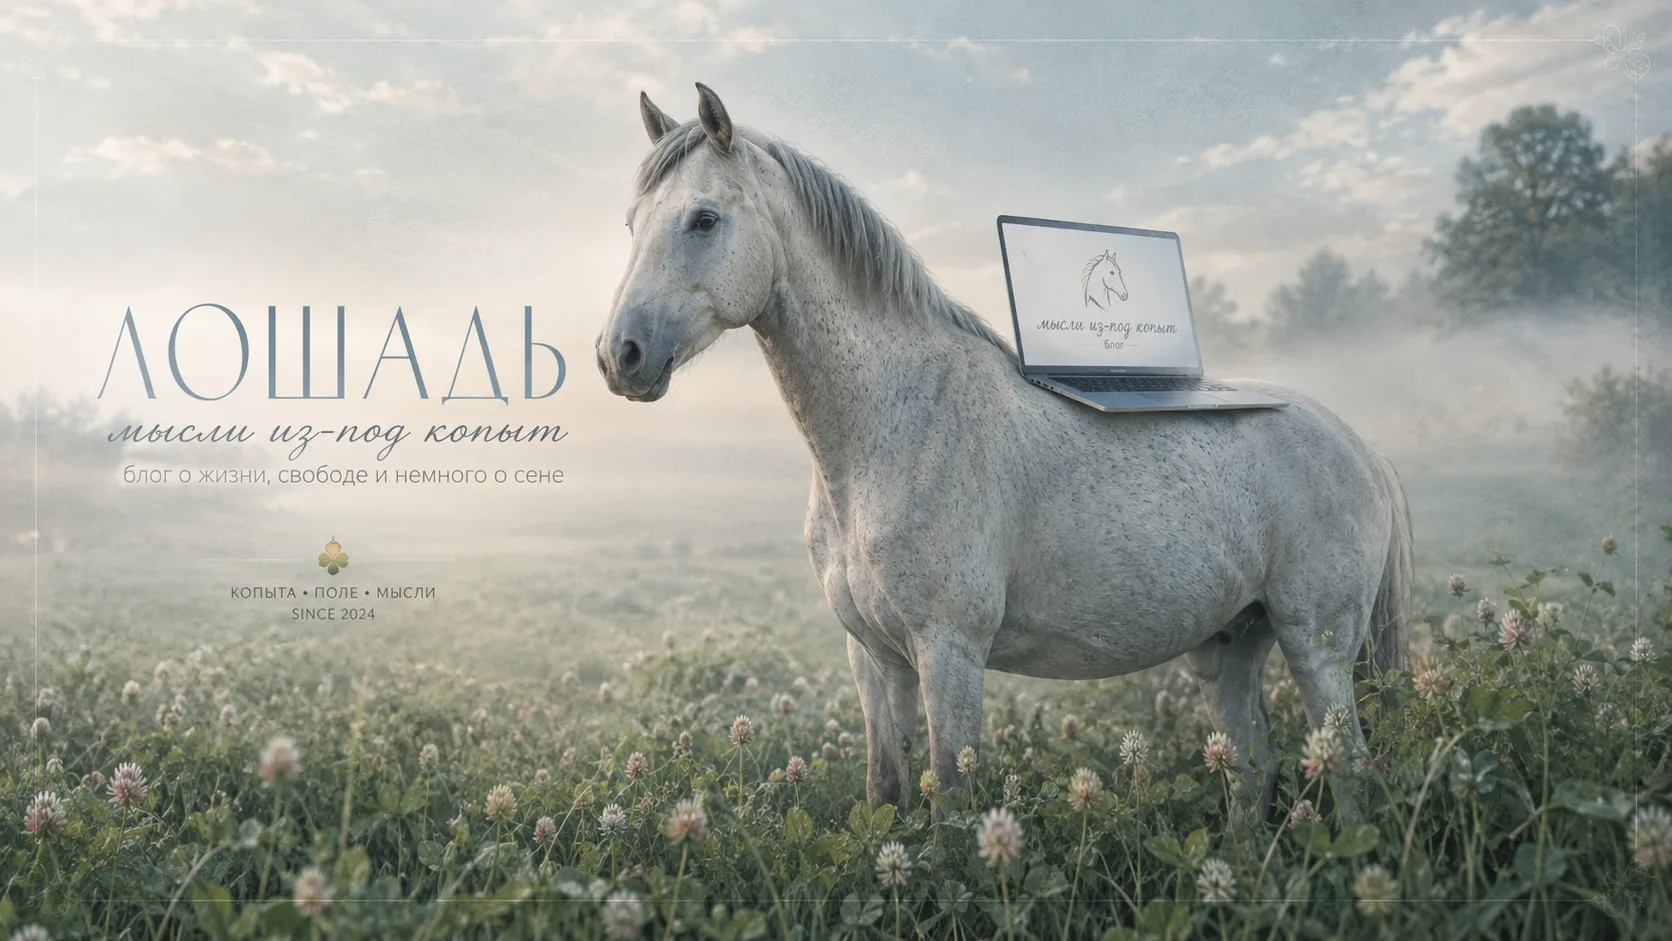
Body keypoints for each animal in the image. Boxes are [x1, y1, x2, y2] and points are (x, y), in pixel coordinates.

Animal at [597, 83, 1412, 817]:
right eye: (632, 222)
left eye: (704, 219)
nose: (619, 355)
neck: (888, 432)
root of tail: (1362, 449)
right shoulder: (875, 660)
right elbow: (887, 791)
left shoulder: (949, 653)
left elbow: (951, 806)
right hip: (1231, 647)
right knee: (1252, 774)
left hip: (1317, 645)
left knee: (1347, 771)